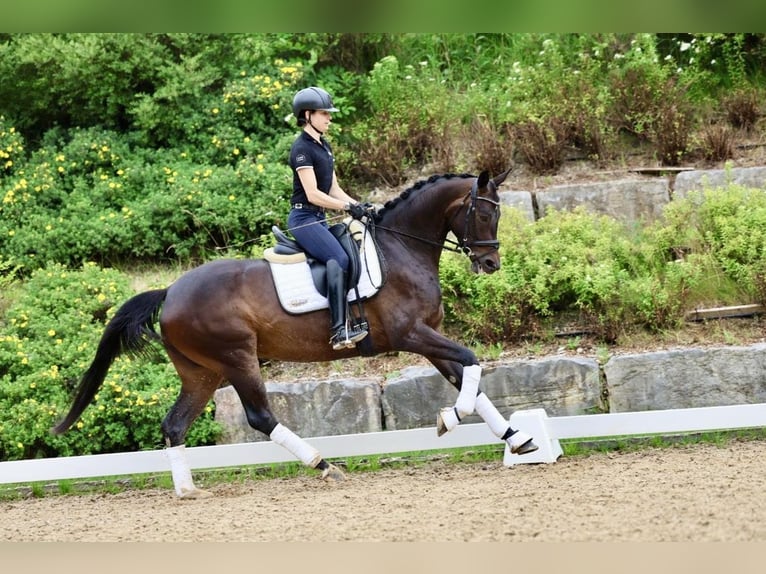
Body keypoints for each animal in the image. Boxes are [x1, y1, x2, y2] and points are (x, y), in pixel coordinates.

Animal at [52, 168, 540, 500]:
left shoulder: (428, 335)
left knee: (174, 424)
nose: (490, 263)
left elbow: (468, 379)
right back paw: (324, 465)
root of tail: (170, 291)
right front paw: (448, 420)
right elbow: (472, 362)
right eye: (482, 212)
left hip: (202, 372)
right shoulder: (410, 335)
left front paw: (519, 440)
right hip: (236, 358)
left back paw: (188, 490)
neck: (401, 248)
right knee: (260, 417)